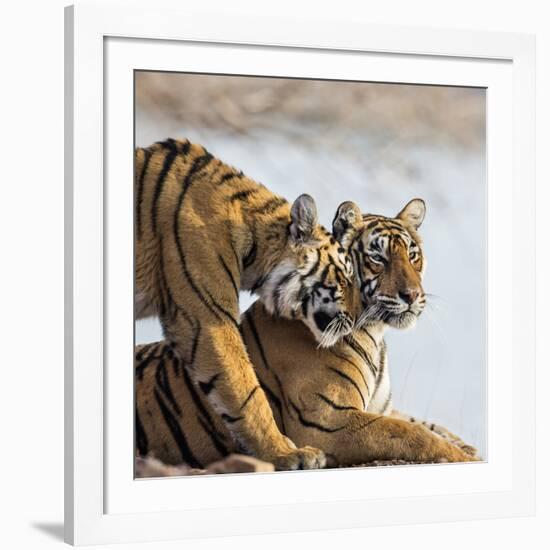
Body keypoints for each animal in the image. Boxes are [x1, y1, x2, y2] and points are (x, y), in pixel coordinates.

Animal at [135, 198, 478, 470]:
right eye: (377, 258)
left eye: (412, 255)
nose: (412, 295)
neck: (375, 333)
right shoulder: (326, 421)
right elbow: (413, 434)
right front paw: (463, 458)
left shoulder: (379, 408)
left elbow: (429, 425)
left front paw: (466, 447)